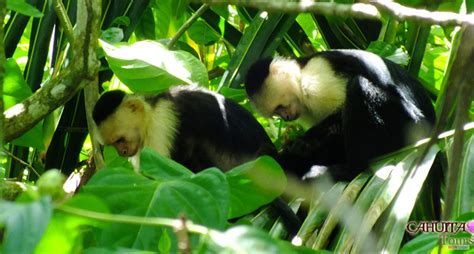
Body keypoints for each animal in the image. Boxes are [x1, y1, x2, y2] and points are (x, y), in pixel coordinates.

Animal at [246, 49, 436, 181]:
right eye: (276, 112)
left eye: (280, 106)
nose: (285, 118)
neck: (301, 74)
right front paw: (297, 150)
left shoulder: (317, 80)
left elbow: (339, 112)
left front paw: (300, 143)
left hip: (412, 124)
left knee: (358, 86)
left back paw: (349, 170)